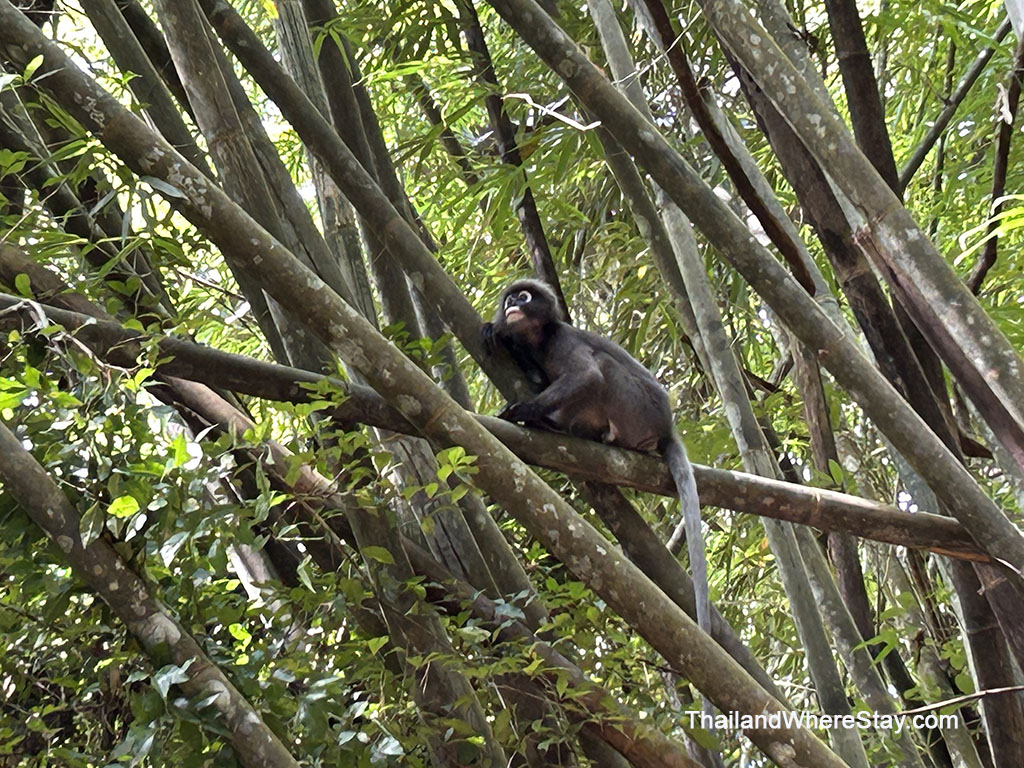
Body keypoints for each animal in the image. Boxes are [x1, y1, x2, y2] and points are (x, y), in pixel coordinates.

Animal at [482, 278, 710, 639]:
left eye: (524, 297)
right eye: (510, 300)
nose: (512, 305)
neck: (540, 339)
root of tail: (666, 427)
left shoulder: (563, 340)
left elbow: (588, 376)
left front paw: (524, 410)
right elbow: (540, 377)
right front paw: (502, 335)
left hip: (633, 407)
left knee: (601, 367)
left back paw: (549, 422)